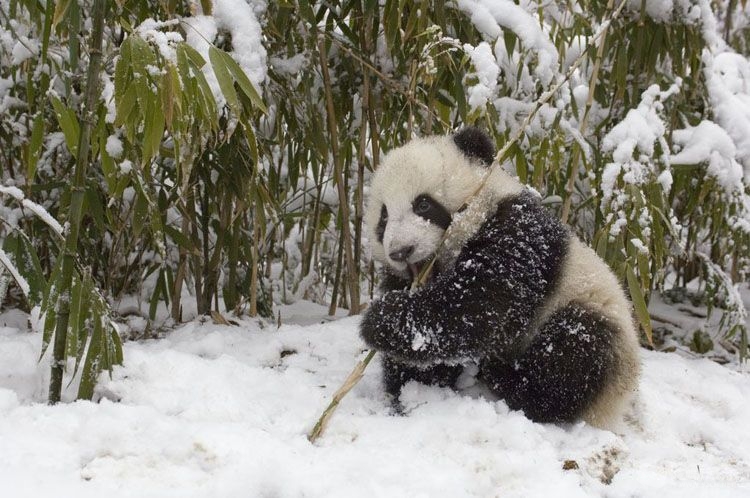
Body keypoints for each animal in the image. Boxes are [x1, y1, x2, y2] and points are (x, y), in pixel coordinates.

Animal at [362, 126, 644, 426]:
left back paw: (510, 380)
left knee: (575, 355)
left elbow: (479, 308)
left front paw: (380, 320)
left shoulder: (518, 233)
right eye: (383, 218)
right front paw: (411, 391)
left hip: (596, 317)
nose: (401, 251)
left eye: (423, 205)